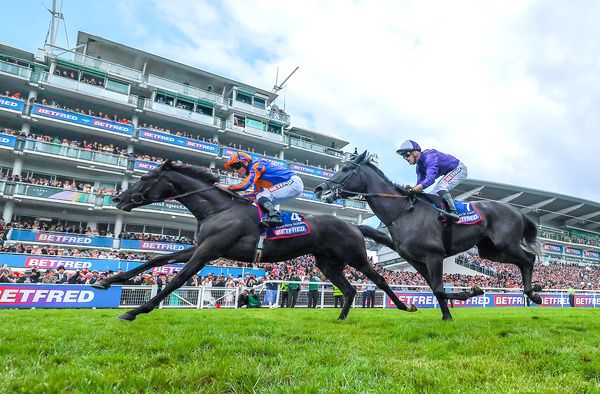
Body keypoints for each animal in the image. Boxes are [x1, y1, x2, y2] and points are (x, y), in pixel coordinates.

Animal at [96, 160, 418, 320]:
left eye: (145, 178)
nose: (118, 198)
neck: (217, 208)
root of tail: (353, 225)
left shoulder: (208, 251)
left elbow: (177, 279)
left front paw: (135, 311)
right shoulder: (199, 247)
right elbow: (157, 259)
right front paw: (105, 281)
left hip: (355, 257)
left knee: (379, 280)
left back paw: (405, 307)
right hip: (328, 264)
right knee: (349, 289)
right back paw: (340, 318)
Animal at [314, 151, 544, 320]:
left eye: (346, 169)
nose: (319, 189)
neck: (403, 212)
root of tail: (518, 211)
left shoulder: (434, 256)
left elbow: (439, 289)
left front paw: (472, 292)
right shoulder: (417, 260)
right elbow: (435, 288)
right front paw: (447, 316)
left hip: (506, 244)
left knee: (529, 258)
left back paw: (534, 292)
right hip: (490, 252)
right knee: (524, 260)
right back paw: (533, 291)